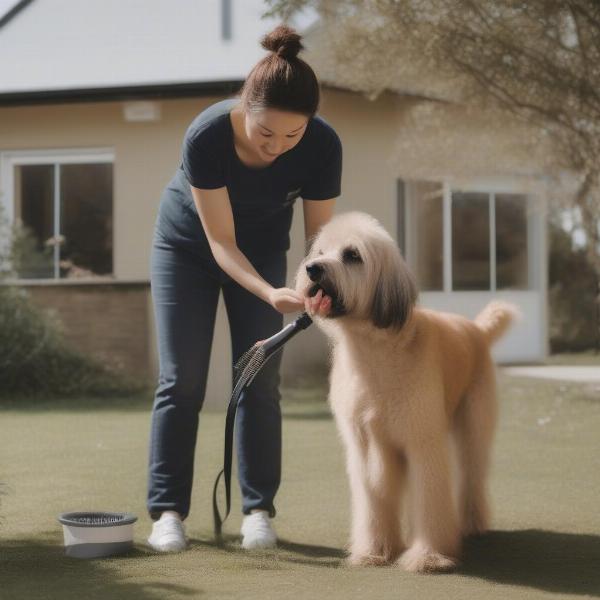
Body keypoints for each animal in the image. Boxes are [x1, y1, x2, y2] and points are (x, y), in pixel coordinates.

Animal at [296, 211, 516, 572]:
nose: (312, 269)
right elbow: (374, 503)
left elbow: (428, 500)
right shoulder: (366, 447)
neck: (375, 352)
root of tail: (477, 330)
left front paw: (427, 556)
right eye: (320, 252)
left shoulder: (422, 444)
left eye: (352, 255)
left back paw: (472, 524)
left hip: (473, 425)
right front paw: (374, 551)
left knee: (472, 475)